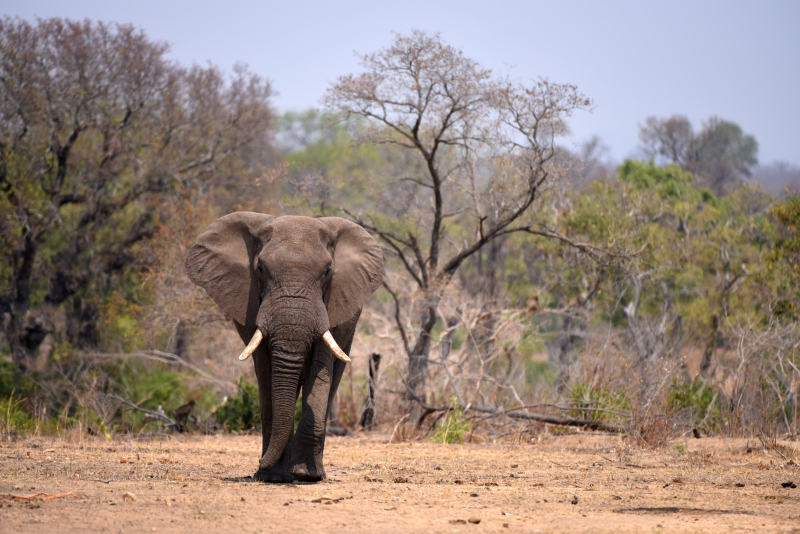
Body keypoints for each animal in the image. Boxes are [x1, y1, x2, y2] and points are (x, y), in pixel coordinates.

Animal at [188, 215, 388, 486]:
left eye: (328, 271)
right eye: (260, 268)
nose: (259, 463)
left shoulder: (330, 306)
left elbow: (320, 371)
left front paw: (304, 474)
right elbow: (267, 374)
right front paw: (272, 476)